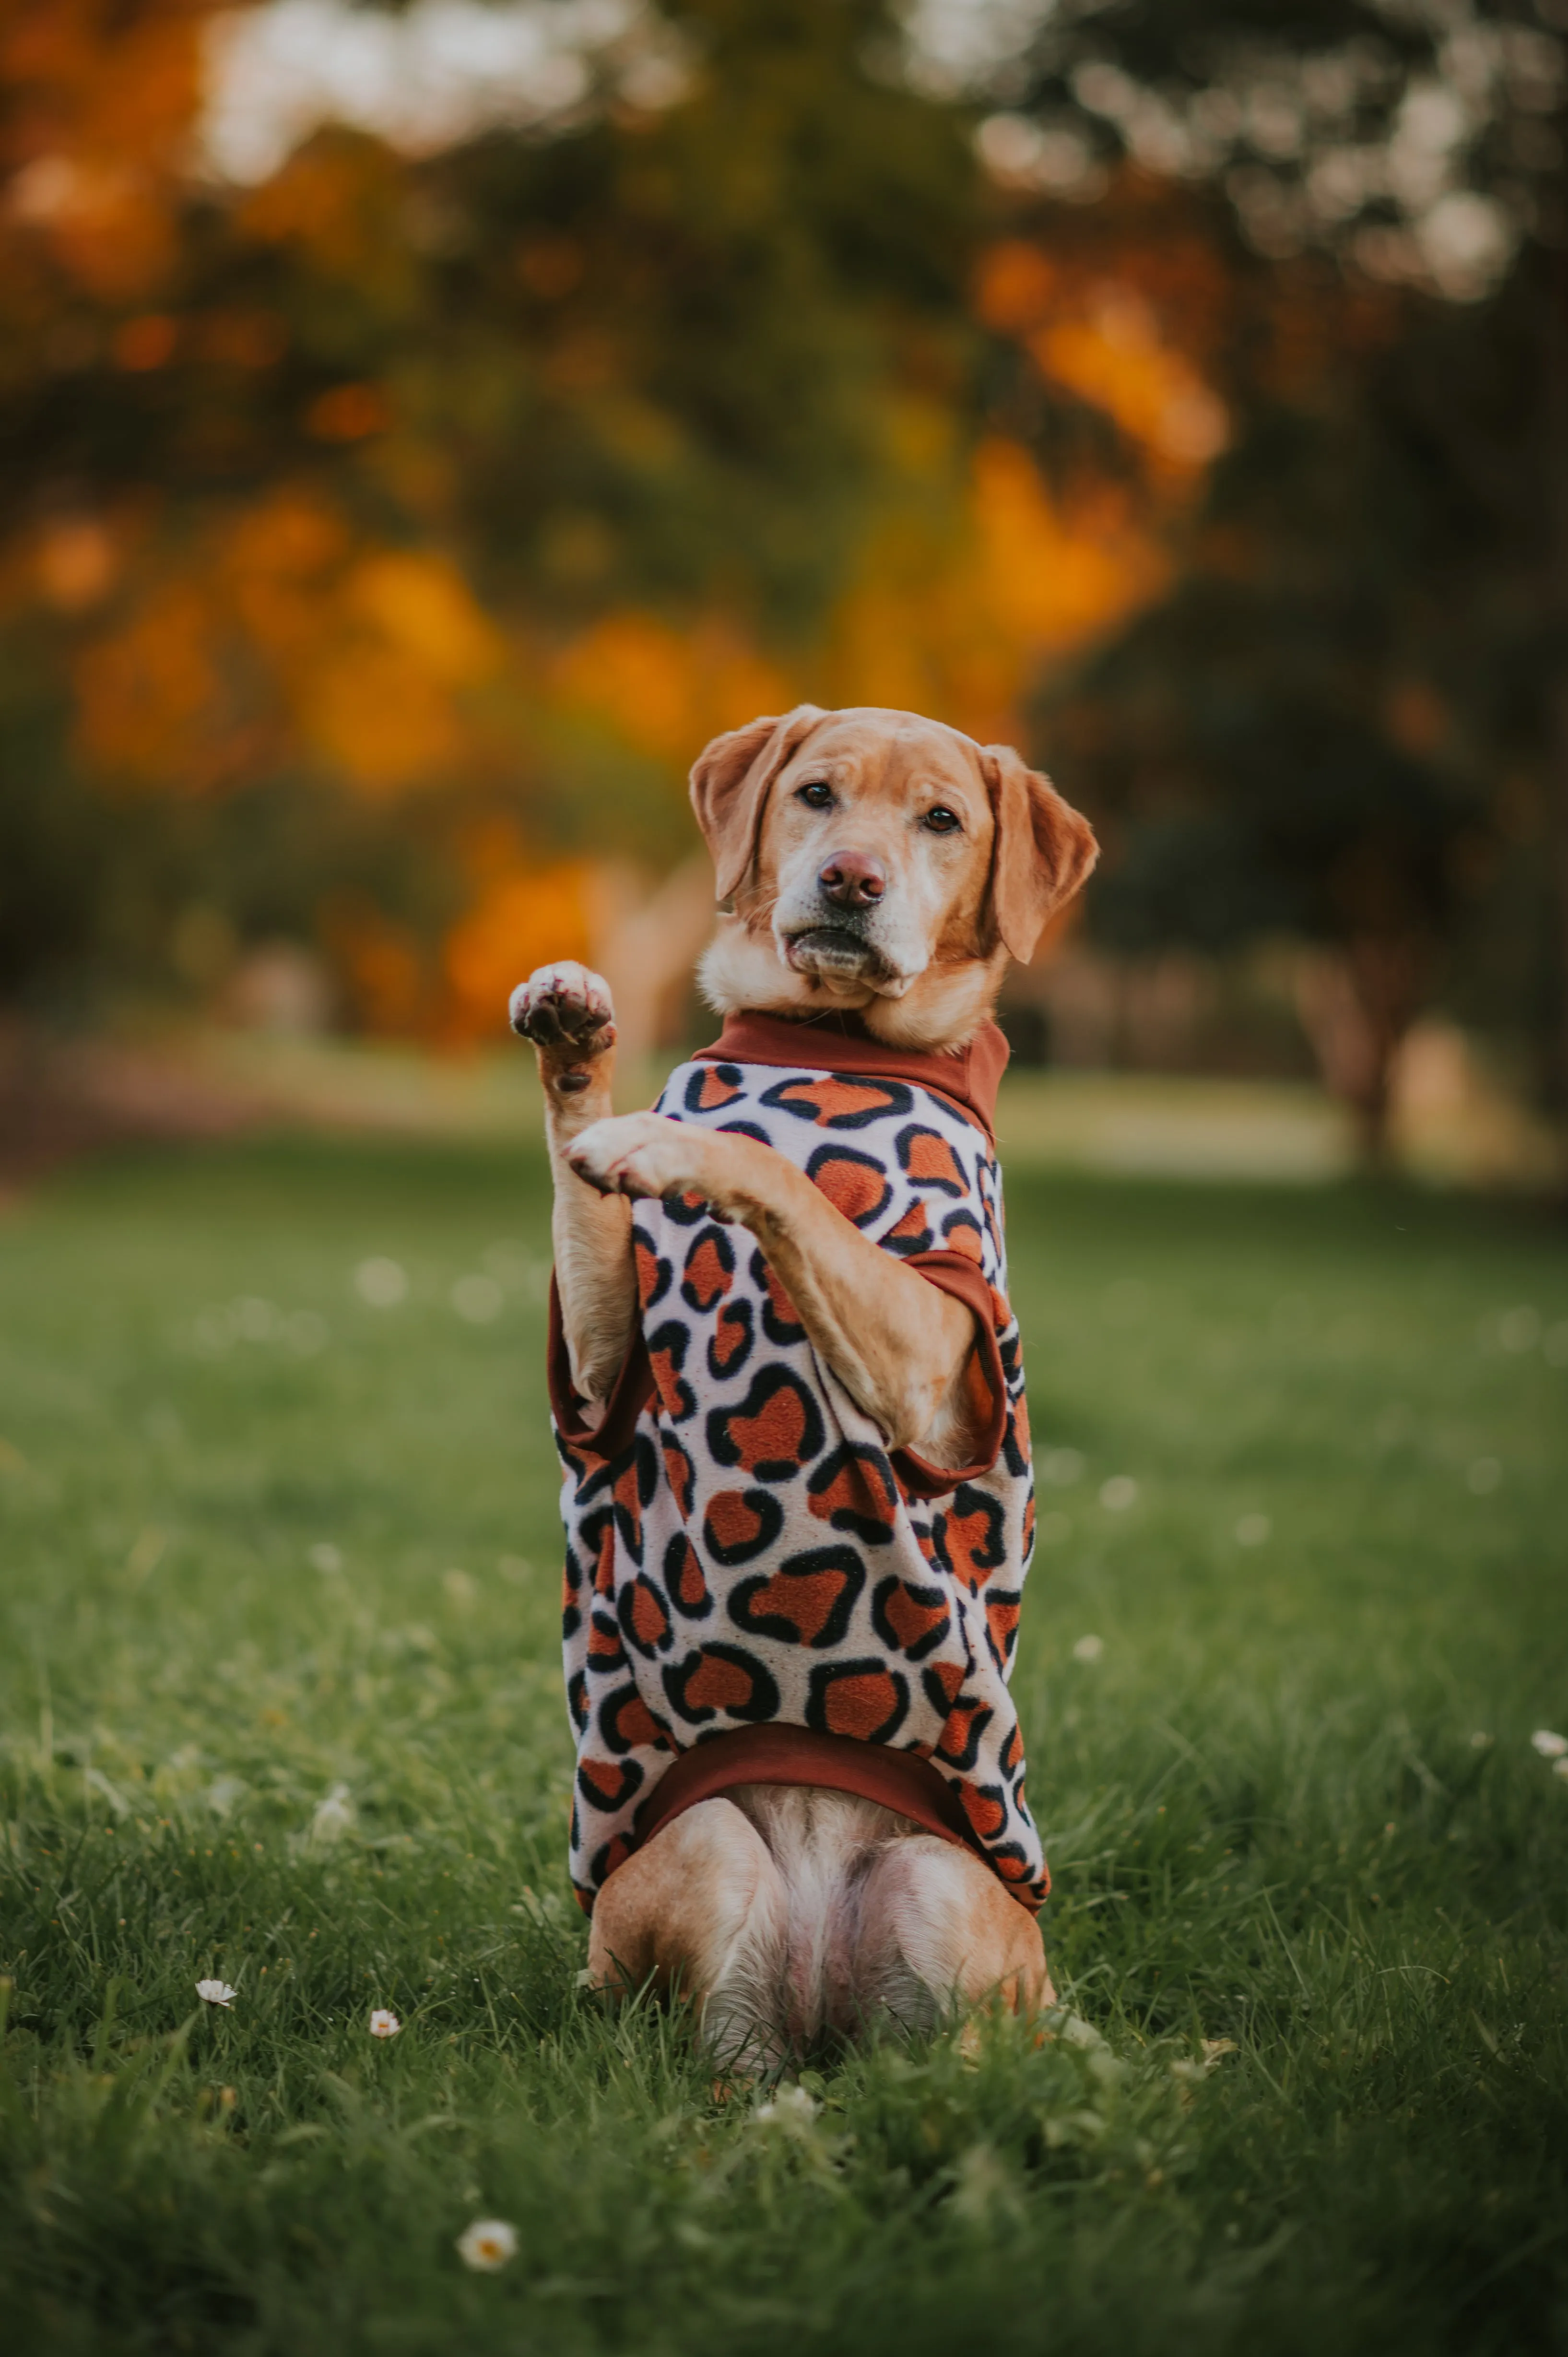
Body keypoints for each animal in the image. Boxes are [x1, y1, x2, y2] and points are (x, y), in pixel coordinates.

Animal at [507, 702, 1094, 2064]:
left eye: (943, 819)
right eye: (817, 795)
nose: (851, 881)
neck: (825, 1038)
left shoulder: (936, 1355)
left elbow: (788, 1184)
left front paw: (675, 1142)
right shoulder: (603, 1360)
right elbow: (578, 1182)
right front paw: (579, 1048)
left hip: (938, 1883)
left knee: (953, 2074)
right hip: (702, 1851)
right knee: (727, 2060)